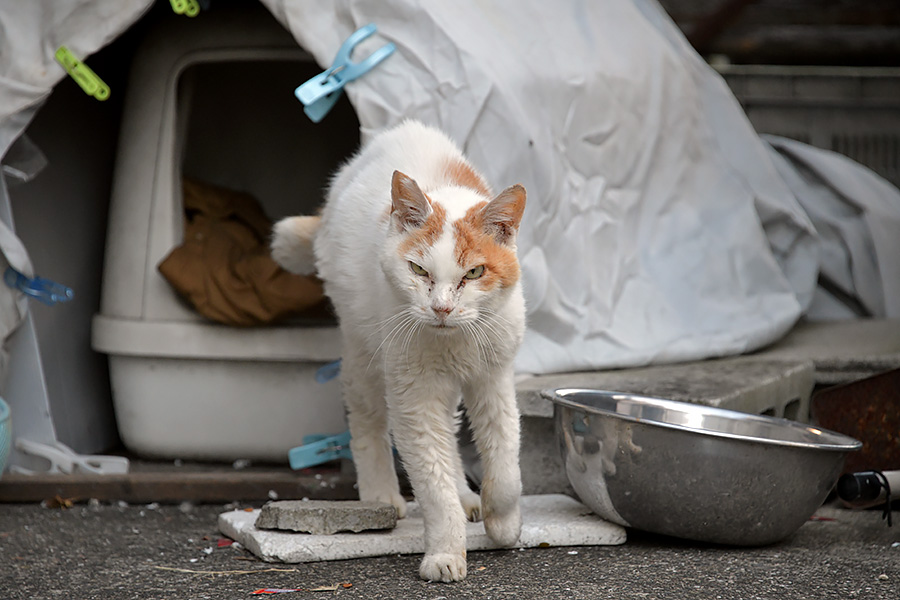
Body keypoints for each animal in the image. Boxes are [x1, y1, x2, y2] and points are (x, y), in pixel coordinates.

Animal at [274, 119, 528, 584]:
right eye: (418, 270)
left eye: (474, 272)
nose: (441, 308)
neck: (453, 337)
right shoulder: (415, 399)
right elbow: (433, 484)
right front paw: (445, 554)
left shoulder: (495, 380)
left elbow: (505, 466)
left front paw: (503, 523)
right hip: (364, 353)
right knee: (367, 420)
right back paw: (381, 496)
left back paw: (468, 497)